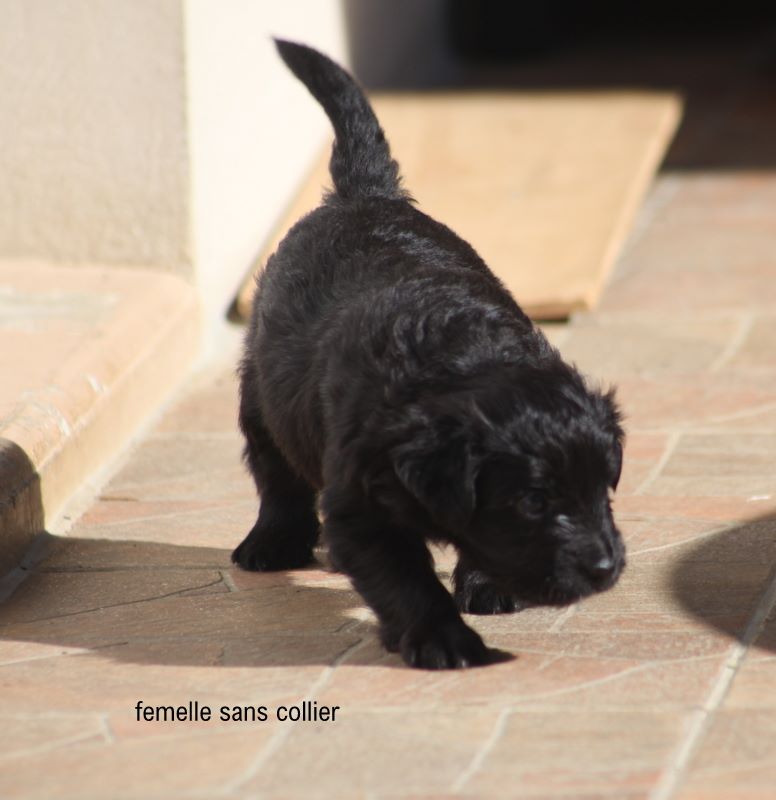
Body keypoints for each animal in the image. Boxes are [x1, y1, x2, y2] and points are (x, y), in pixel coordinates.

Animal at [233, 39, 626, 669]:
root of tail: (365, 193)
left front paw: (485, 585)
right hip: (260, 395)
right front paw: (444, 641)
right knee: (276, 475)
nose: (605, 567)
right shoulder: (361, 506)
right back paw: (271, 542)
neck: (462, 356)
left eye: (602, 488)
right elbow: (405, 581)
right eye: (534, 501)